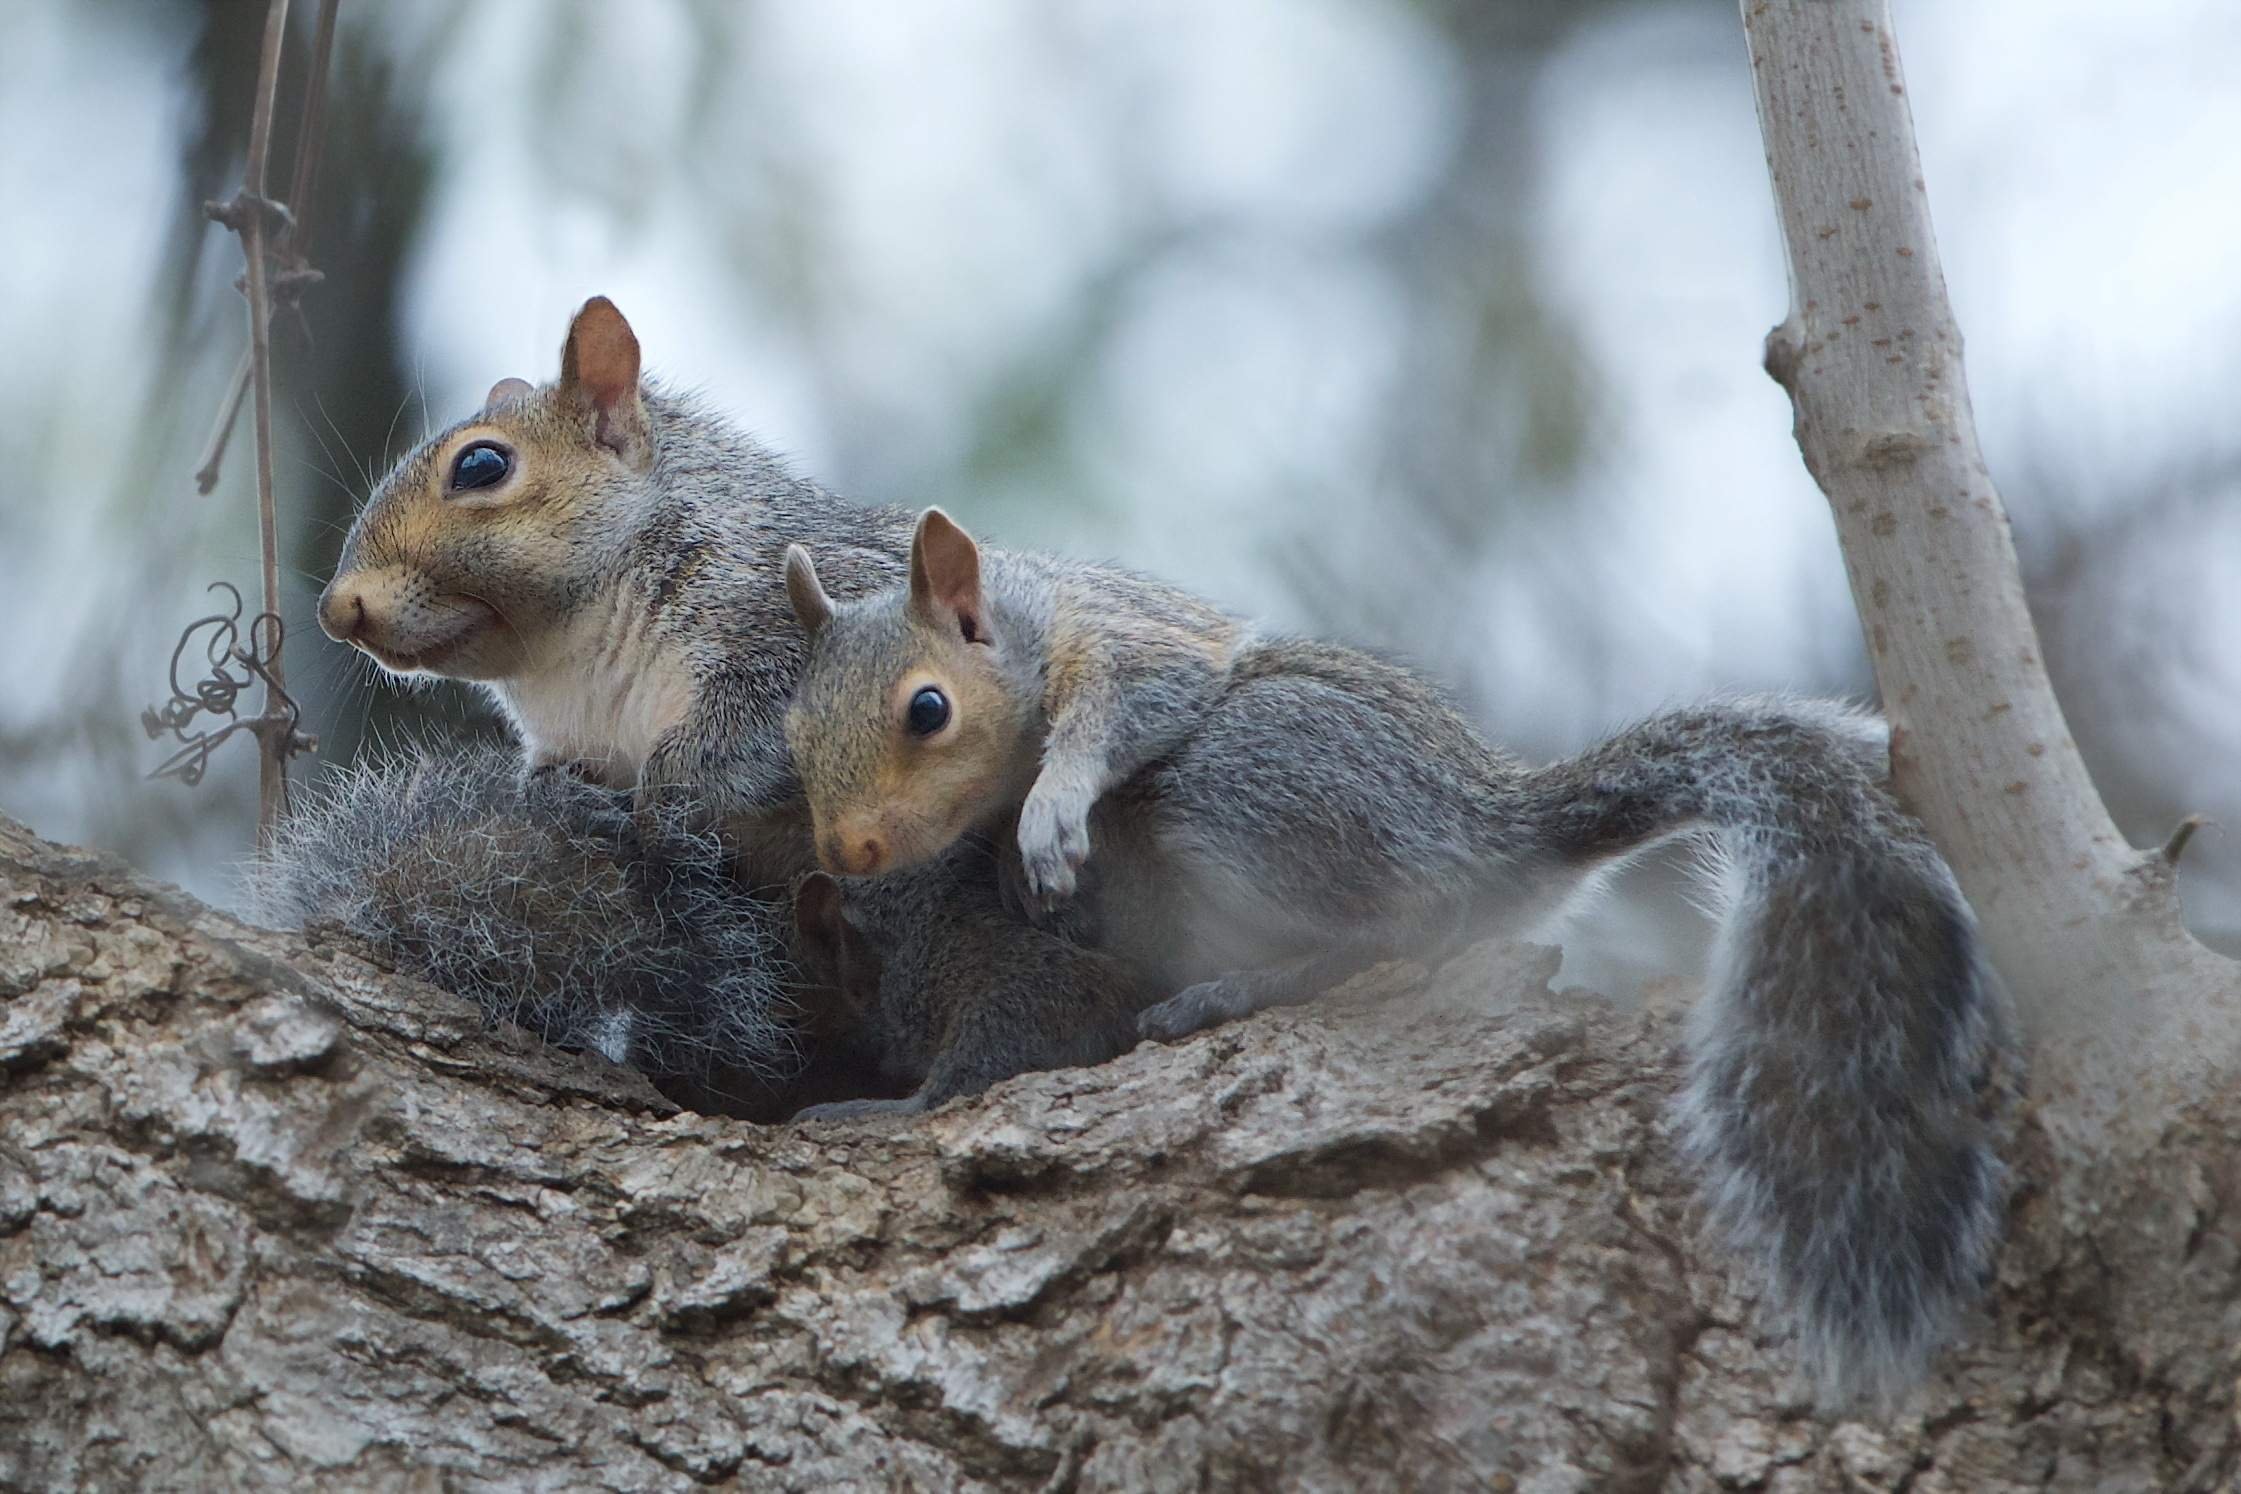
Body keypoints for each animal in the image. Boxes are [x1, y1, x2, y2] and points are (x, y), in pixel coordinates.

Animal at [784, 506, 2016, 1406]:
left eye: (928, 710)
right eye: (793, 735)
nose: (844, 849)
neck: (1029, 622)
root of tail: (1488, 831)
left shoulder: (1125, 645)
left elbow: (1123, 716)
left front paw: (1049, 811)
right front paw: (1010, 865)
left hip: (1258, 779)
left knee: (1384, 935)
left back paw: (1234, 988)